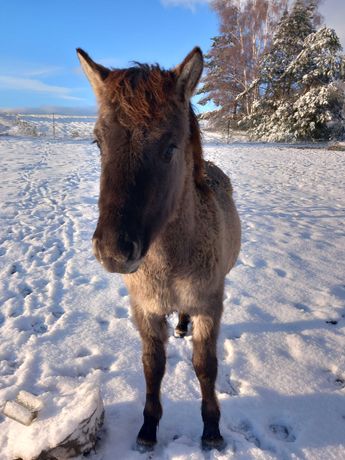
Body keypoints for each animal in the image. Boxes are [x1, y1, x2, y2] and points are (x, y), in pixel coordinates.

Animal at [76, 46, 241, 450]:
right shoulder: (146, 310)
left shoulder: (209, 306)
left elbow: (205, 366)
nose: (113, 250)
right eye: (98, 142)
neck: (170, 263)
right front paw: (147, 429)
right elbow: (153, 366)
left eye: (170, 147)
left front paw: (212, 429)